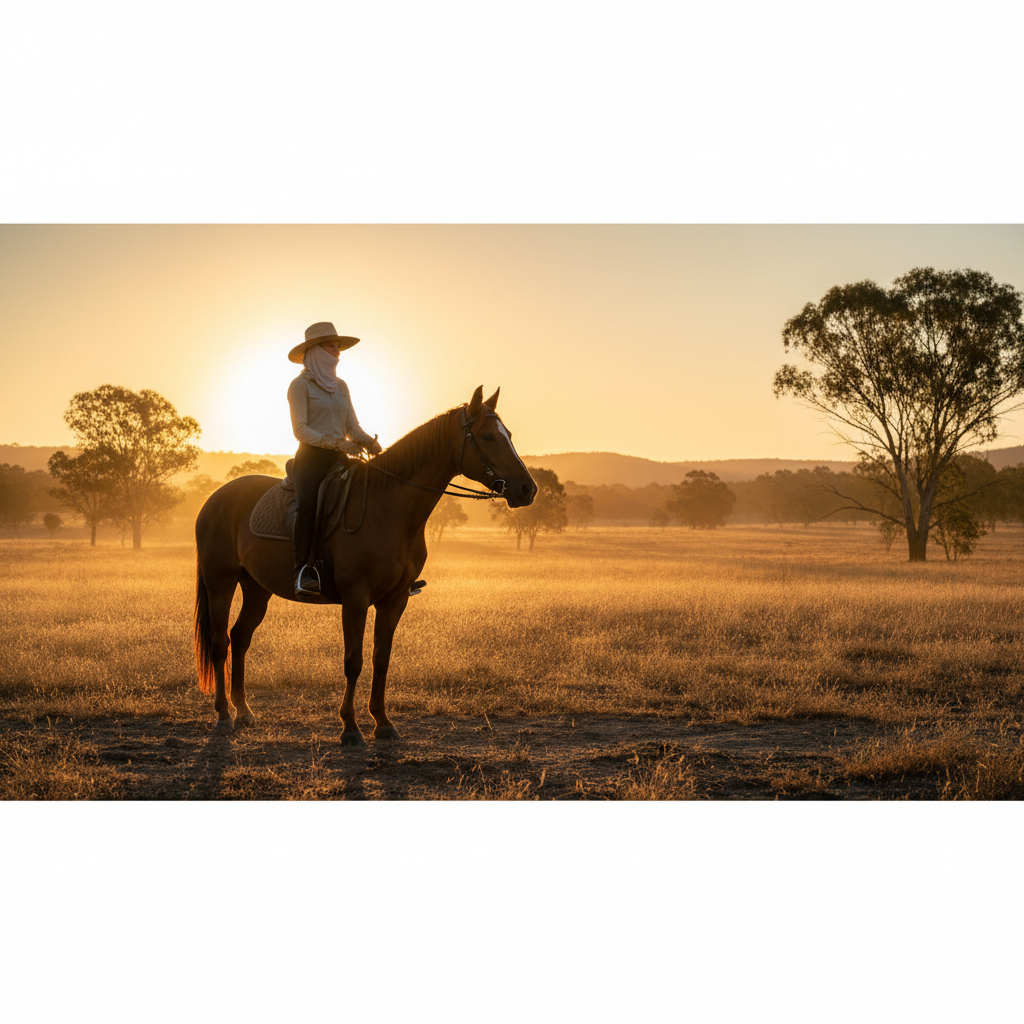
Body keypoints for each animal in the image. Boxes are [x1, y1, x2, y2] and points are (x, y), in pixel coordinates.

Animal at [193, 386, 537, 744]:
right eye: (487, 436)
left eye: (509, 435)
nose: (528, 488)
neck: (387, 510)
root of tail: (214, 500)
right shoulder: (355, 600)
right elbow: (353, 661)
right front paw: (350, 727)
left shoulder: (394, 601)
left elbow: (381, 659)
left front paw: (382, 722)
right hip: (220, 583)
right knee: (220, 644)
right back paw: (223, 716)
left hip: (257, 589)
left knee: (240, 638)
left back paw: (244, 711)